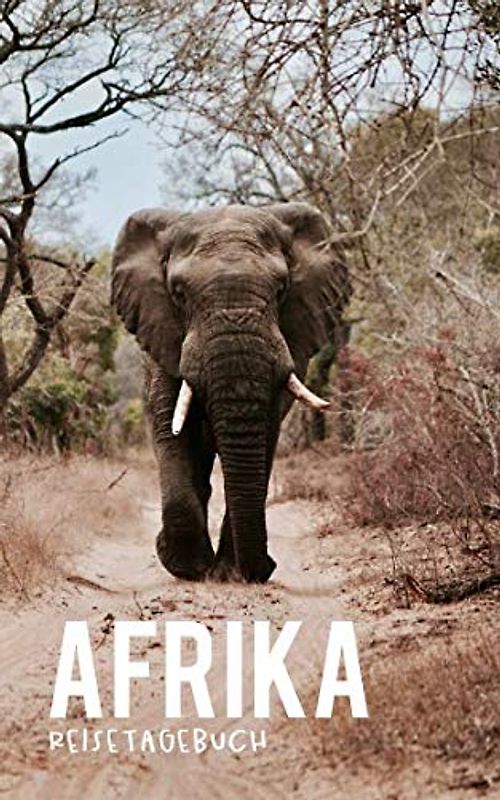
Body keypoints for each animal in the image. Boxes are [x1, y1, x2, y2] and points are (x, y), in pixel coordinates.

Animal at [111, 203, 351, 583]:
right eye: (178, 293)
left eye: (281, 289)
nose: (267, 567)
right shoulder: (162, 335)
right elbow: (171, 428)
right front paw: (188, 568)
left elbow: (265, 431)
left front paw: (228, 573)